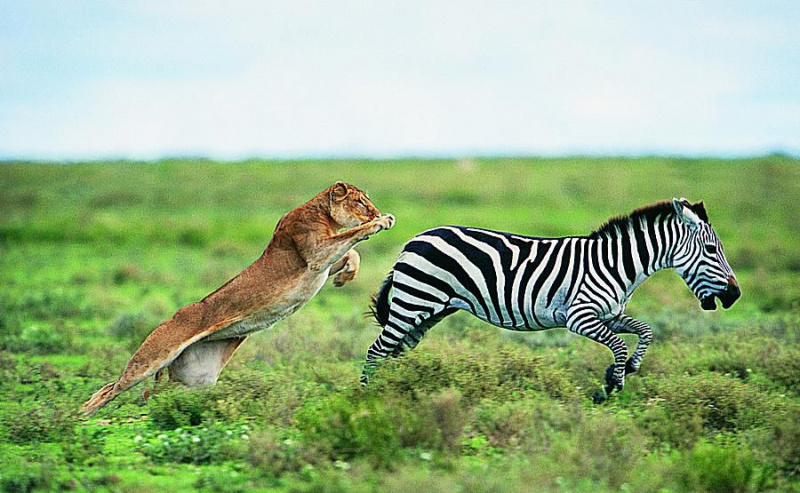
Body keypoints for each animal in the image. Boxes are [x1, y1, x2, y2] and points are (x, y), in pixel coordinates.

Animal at [81, 181, 394, 416]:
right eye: (361, 203)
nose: (377, 211)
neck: (323, 214)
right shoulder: (315, 253)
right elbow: (353, 235)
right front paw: (381, 222)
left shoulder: (322, 262)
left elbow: (351, 252)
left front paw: (345, 277)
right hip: (154, 356)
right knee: (110, 388)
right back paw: (82, 418)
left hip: (197, 375)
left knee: (153, 393)